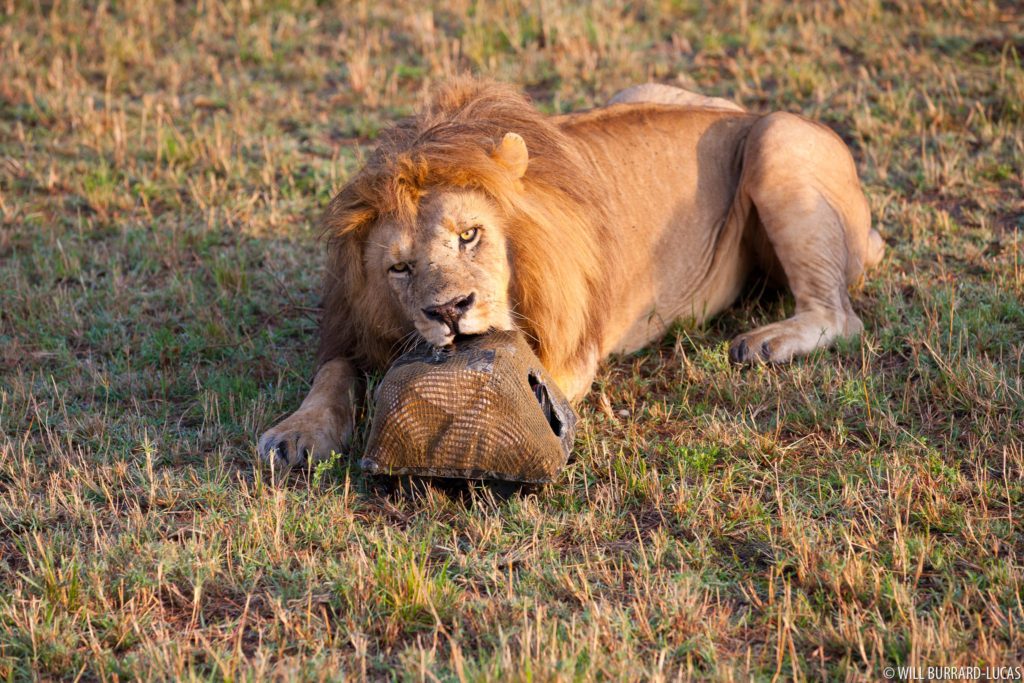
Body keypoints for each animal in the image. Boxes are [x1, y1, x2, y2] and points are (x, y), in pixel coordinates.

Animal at [260, 77, 884, 466]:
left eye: (469, 235)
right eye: (399, 268)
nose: (449, 311)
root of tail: (745, 111)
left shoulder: (572, 354)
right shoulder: (354, 324)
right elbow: (333, 374)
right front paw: (296, 432)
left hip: (776, 138)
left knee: (839, 315)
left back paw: (765, 343)